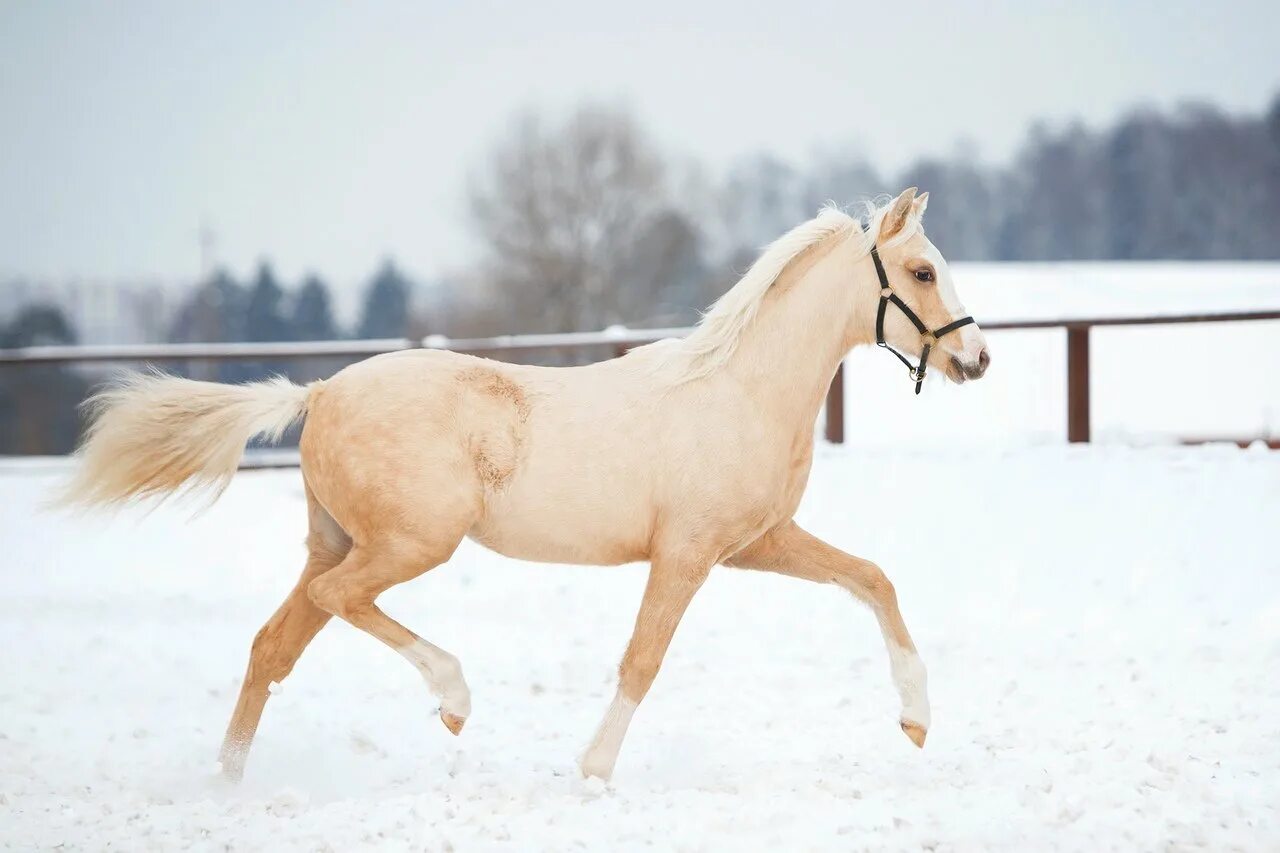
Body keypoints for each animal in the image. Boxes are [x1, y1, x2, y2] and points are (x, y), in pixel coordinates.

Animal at [62, 185, 988, 778]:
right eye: (923, 272)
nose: (977, 359)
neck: (739, 390)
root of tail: (320, 393)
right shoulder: (686, 554)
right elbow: (641, 660)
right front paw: (593, 771)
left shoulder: (757, 542)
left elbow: (873, 578)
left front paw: (916, 721)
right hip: (410, 543)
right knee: (338, 603)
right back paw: (454, 696)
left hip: (336, 541)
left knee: (272, 645)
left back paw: (228, 780)